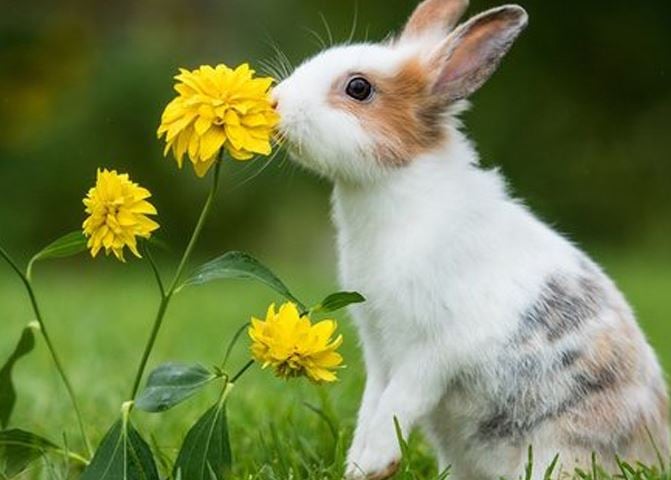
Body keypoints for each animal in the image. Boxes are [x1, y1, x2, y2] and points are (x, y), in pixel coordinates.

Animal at [271, 0, 670, 478]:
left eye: (358, 88)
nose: (275, 102)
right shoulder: (380, 351)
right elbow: (373, 404)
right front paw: (356, 467)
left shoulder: (431, 350)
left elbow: (397, 403)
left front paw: (373, 462)